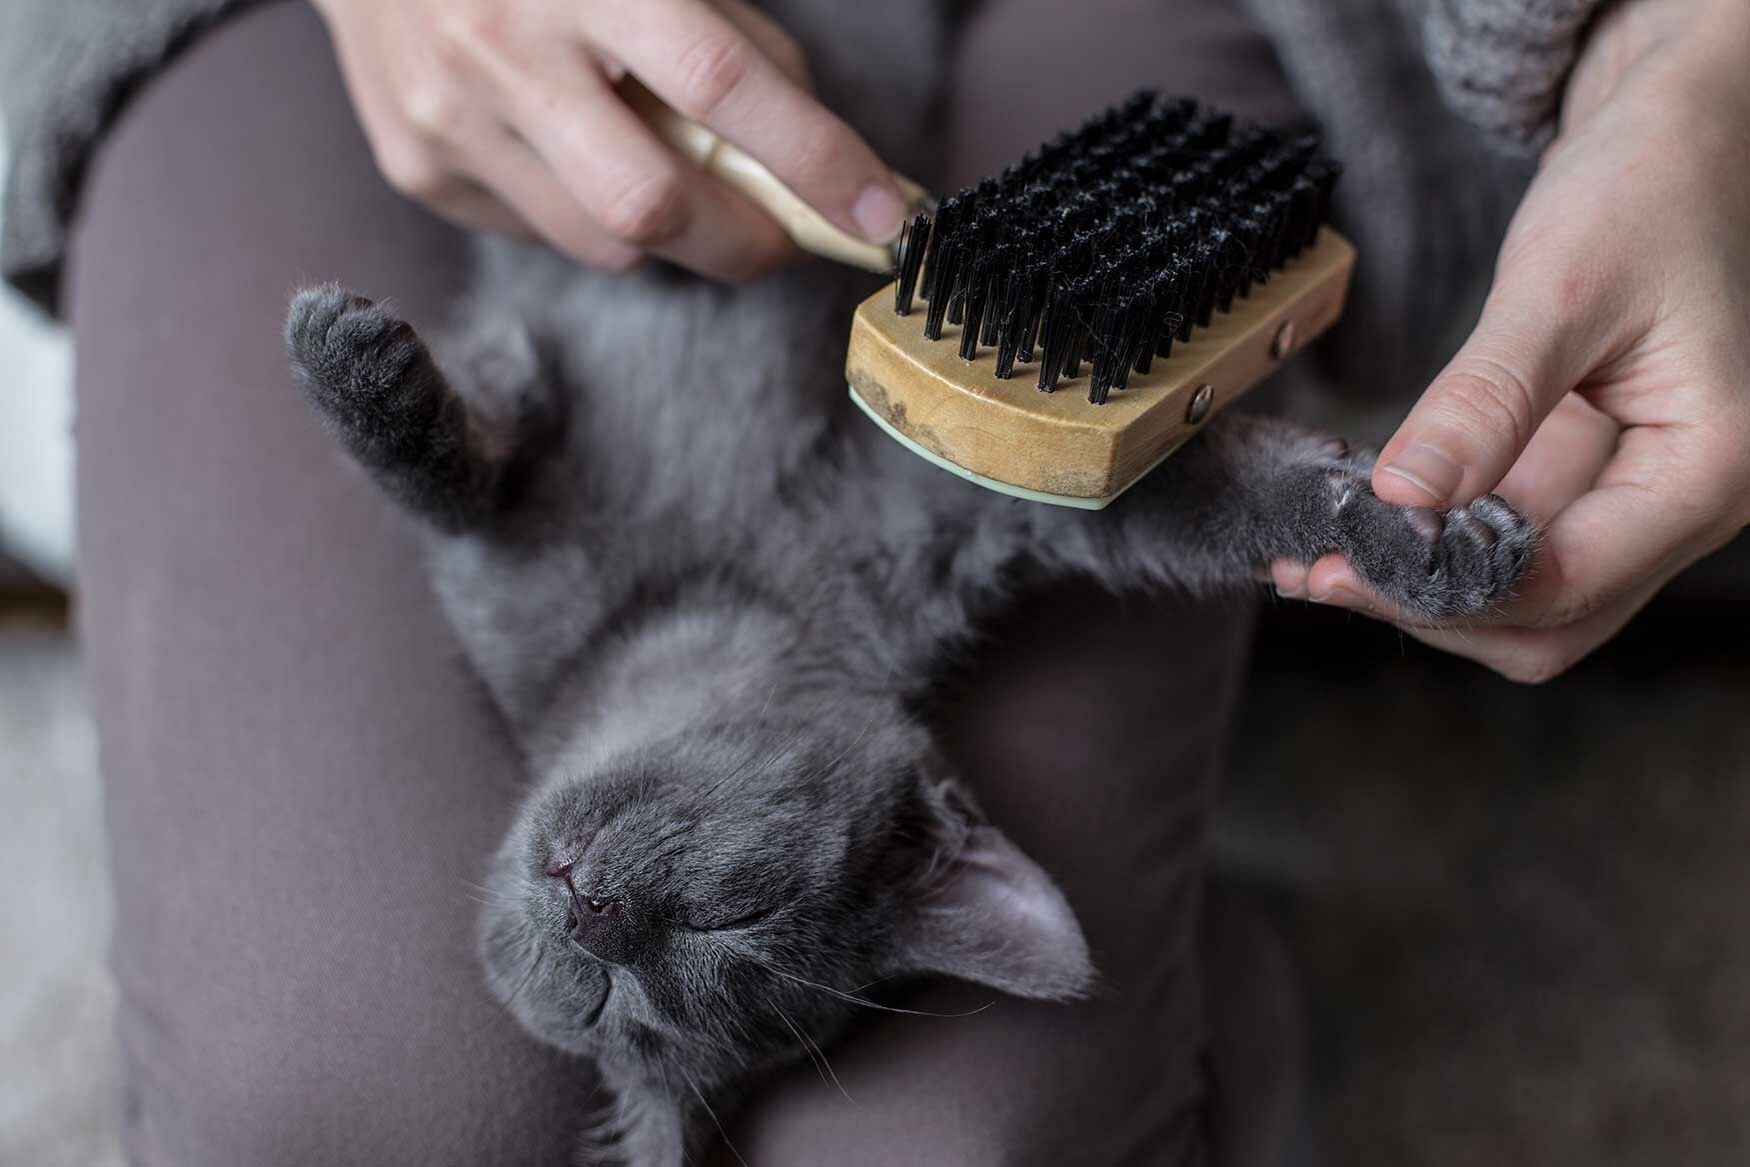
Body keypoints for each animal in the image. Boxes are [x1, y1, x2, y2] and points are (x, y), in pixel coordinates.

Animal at [283, 225, 1533, 1161]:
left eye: (721, 925)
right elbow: (454, 471)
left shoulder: (986, 473)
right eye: (598, 994)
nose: (594, 913)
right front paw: (365, 367)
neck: (707, 595)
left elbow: (1222, 494)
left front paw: (1425, 537)